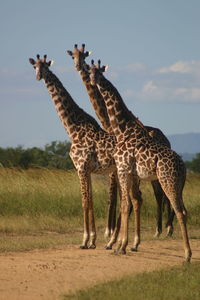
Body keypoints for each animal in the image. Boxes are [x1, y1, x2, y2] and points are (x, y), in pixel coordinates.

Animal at [28, 54, 116, 248]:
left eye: (45, 67)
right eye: (35, 67)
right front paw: (92, 240)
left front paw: (85, 240)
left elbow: (84, 201)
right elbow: (90, 200)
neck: (72, 128)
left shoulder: (81, 167)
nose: (38, 77)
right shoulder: (86, 170)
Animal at [67, 43, 173, 239]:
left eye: (83, 56)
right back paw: (166, 228)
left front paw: (110, 231)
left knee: (160, 193)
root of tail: (167, 139)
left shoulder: (114, 168)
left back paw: (163, 229)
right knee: (161, 193)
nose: (78, 66)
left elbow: (114, 196)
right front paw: (112, 231)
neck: (108, 122)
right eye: (73, 56)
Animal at [88, 59, 191, 262]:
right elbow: (130, 203)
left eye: (100, 72)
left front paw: (121, 247)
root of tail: (183, 167)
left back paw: (186, 255)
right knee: (182, 210)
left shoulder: (122, 169)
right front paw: (122, 245)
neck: (122, 129)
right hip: (178, 185)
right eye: (91, 72)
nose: (93, 81)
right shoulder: (130, 173)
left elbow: (125, 205)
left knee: (179, 211)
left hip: (167, 181)